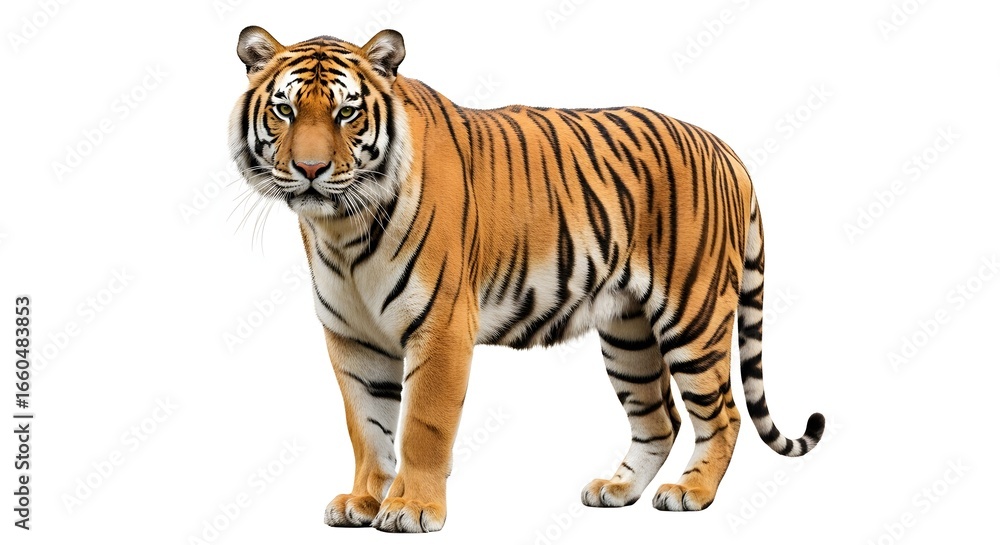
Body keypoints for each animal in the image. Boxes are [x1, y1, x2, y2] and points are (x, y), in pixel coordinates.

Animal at [229, 26, 825, 533]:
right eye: (284, 110)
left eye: (347, 112)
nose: (310, 170)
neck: (342, 227)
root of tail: (726, 150)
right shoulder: (352, 338)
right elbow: (367, 427)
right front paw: (363, 501)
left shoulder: (442, 328)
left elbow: (422, 424)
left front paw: (411, 509)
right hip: (628, 333)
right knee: (661, 419)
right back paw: (617, 489)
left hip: (692, 317)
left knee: (722, 414)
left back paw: (691, 492)